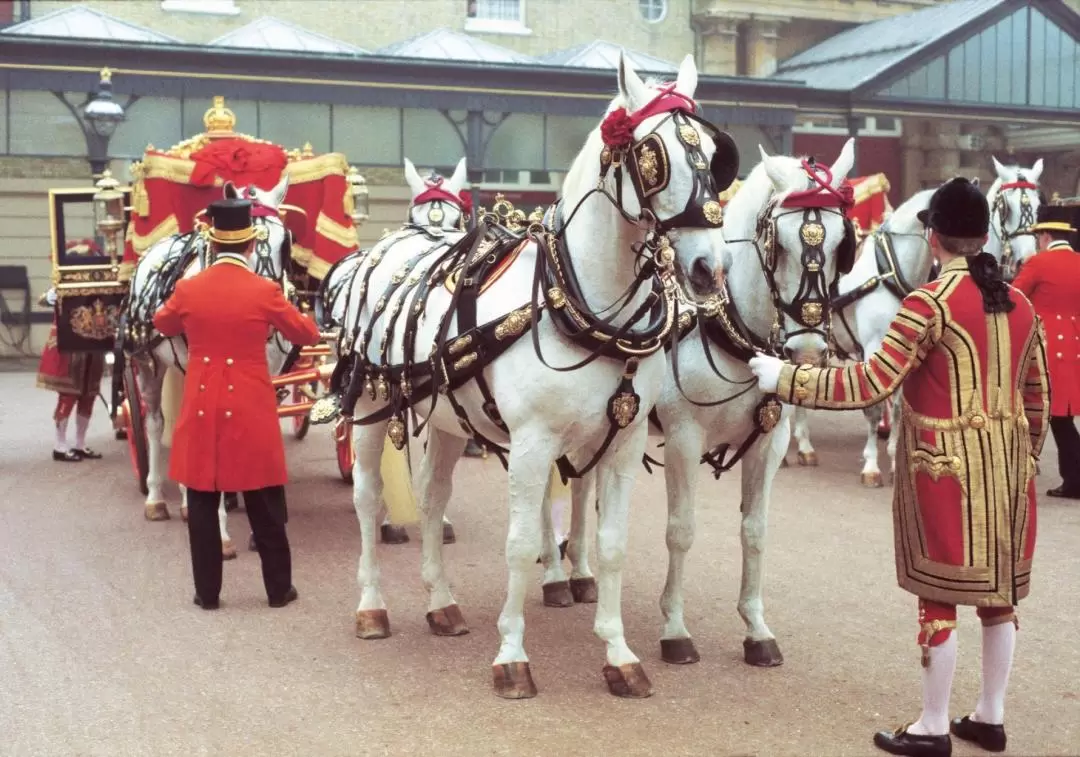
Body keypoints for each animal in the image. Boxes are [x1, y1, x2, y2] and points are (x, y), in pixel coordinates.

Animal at [339, 53, 725, 695]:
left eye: (715, 155)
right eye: (654, 153)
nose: (708, 268)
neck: (581, 305)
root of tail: (396, 242)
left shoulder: (624, 442)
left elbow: (612, 546)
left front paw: (619, 655)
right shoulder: (531, 442)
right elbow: (520, 546)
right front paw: (512, 656)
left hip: (448, 419)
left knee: (432, 498)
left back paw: (440, 603)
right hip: (370, 409)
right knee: (368, 500)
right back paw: (371, 606)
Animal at [544, 139, 855, 665]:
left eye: (840, 245)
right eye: (780, 243)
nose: (809, 352)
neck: (731, 330)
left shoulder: (769, 444)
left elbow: (755, 532)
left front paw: (756, 629)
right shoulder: (684, 439)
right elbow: (681, 531)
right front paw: (674, 629)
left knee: (584, 486)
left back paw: (582, 574)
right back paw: (552, 575)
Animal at [786, 186, 937, 488]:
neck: (889, 272)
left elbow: (899, 409)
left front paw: (894, 461)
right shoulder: (872, 348)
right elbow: (874, 408)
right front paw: (871, 465)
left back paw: (805, 446)